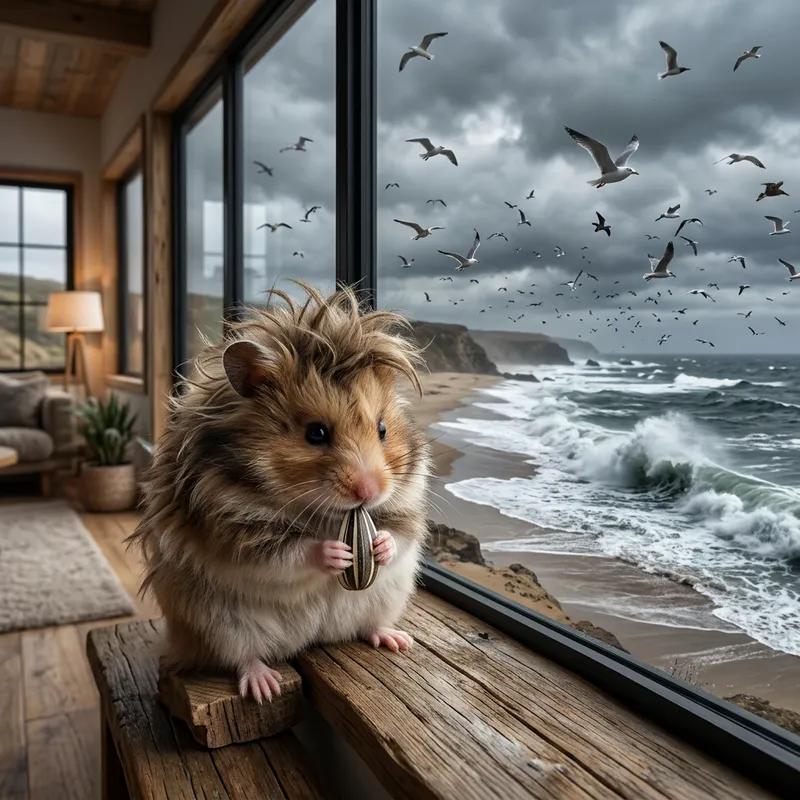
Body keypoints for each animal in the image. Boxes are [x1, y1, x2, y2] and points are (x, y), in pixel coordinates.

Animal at [127, 281, 432, 703]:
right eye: (316, 433)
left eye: (383, 429)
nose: (368, 492)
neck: (327, 514)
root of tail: (307, 641)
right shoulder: (236, 531)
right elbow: (289, 554)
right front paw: (336, 553)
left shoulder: (407, 507)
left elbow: (398, 536)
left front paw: (378, 545)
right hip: (217, 624)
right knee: (240, 657)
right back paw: (264, 686)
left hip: (385, 598)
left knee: (368, 626)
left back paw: (396, 640)